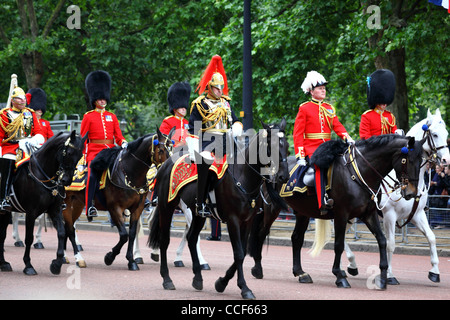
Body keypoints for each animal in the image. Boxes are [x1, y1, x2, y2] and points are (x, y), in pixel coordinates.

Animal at [0, 131, 86, 276]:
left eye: (80, 155)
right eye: (68, 153)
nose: (67, 180)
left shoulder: (56, 210)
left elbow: (62, 232)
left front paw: (57, 263)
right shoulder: (31, 212)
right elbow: (29, 238)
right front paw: (28, 265)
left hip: (5, 212)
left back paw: (4, 263)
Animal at [62, 127, 174, 270]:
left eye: (171, 147)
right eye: (161, 150)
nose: (170, 167)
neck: (129, 173)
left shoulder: (137, 209)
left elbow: (131, 233)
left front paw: (131, 261)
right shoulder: (115, 208)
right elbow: (124, 235)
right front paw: (109, 257)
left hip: (77, 204)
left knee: (68, 227)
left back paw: (67, 257)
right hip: (65, 203)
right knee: (69, 229)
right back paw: (74, 259)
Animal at [149, 119, 288, 300]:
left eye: (287, 145)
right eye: (271, 145)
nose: (284, 176)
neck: (243, 177)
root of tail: (166, 163)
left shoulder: (247, 221)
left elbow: (242, 252)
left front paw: (221, 283)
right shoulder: (233, 220)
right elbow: (239, 253)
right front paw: (244, 288)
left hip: (197, 214)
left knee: (191, 238)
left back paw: (197, 278)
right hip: (167, 207)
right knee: (164, 240)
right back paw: (167, 279)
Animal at [284, 134, 424, 288]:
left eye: (421, 162)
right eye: (407, 160)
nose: (411, 193)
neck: (361, 172)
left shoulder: (369, 214)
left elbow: (382, 240)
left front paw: (382, 278)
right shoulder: (341, 215)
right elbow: (338, 244)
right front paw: (339, 276)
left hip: (302, 213)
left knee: (297, 238)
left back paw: (300, 273)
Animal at [344, 109, 446, 282]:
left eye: (446, 133)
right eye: (435, 134)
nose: (446, 160)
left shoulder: (417, 214)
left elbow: (431, 237)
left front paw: (435, 271)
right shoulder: (389, 215)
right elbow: (390, 244)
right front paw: (390, 275)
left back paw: (350, 265)